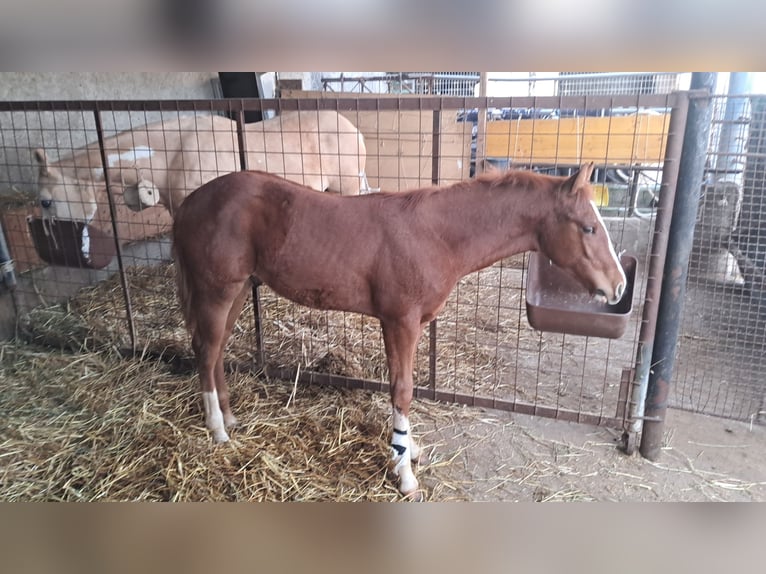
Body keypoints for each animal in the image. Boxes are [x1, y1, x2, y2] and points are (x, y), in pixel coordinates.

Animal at [171, 163, 627, 498]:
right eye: (588, 227)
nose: (619, 286)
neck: (436, 236)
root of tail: (190, 201)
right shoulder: (399, 321)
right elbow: (402, 390)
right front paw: (404, 473)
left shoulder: (411, 324)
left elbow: (406, 387)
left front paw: (408, 449)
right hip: (217, 289)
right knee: (207, 350)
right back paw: (217, 429)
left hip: (238, 289)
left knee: (215, 348)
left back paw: (230, 417)